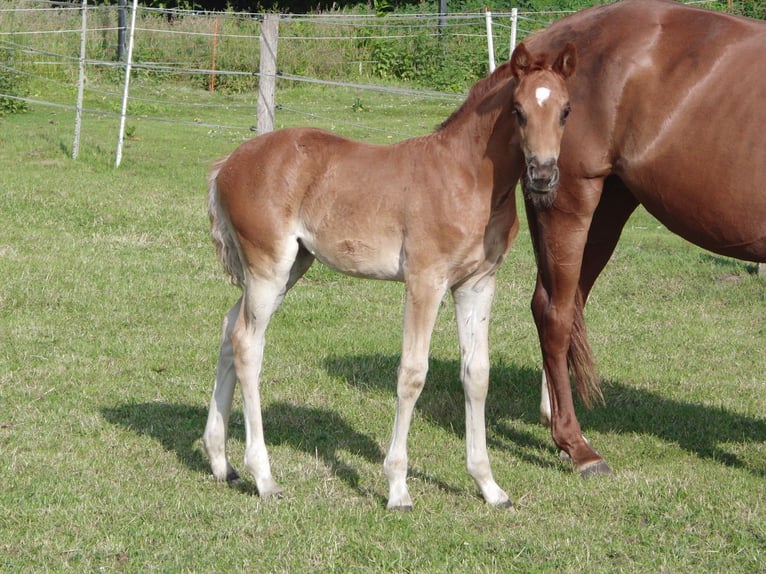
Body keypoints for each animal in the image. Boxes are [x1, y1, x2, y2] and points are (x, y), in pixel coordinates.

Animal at [202, 42, 577, 509]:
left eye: (565, 110)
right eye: (519, 110)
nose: (543, 175)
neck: (467, 177)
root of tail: (228, 162)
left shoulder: (476, 285)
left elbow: (477, 375)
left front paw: (488, 486)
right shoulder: (425, 280)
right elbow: (412, 373)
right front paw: (398, 487)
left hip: (291, 267)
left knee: (228, 327)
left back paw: (221, 462)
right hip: (268, 267)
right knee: (248, 343)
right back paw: (263, 476)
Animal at [519, 0, 766, 475]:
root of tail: (546, 43)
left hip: (606, 210)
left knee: (565, 303)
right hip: (570, 201)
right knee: (554, 314)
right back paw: (578, 447)